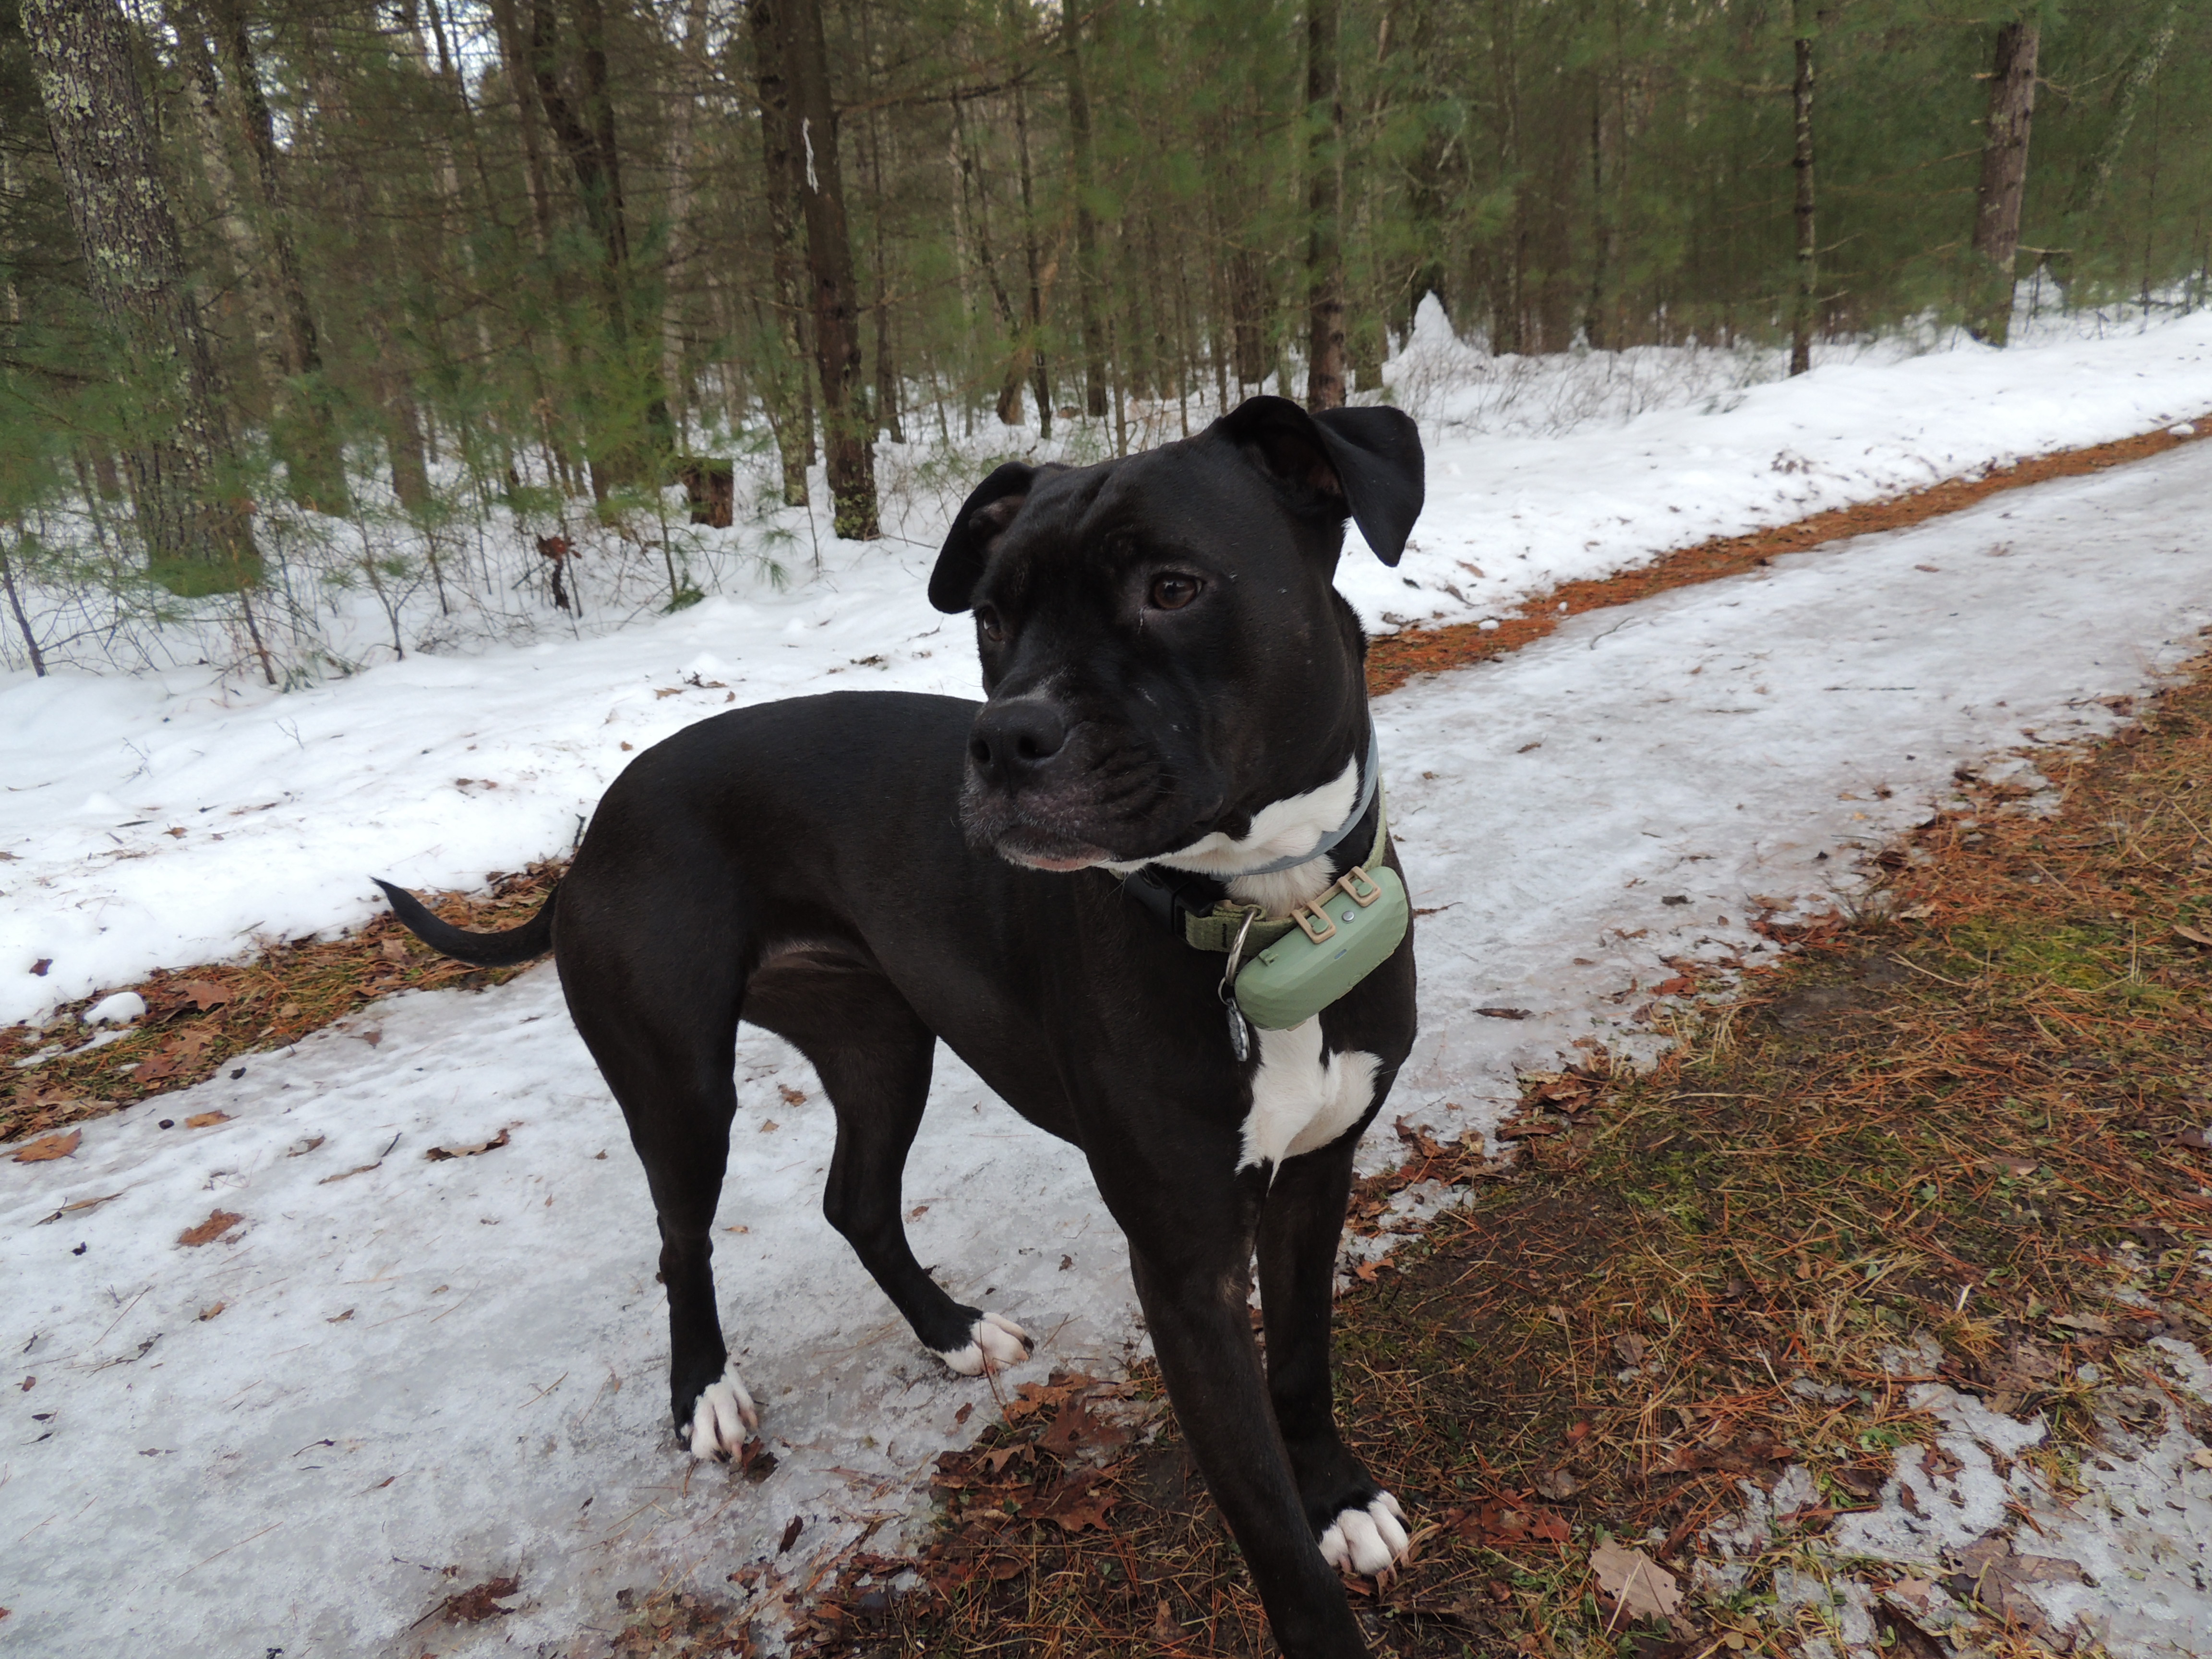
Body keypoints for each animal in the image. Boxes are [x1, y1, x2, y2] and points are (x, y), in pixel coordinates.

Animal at [376, 394, 1424, 1658]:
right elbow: (1258, 1512)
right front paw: (1312, 1565)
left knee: (856, 1200)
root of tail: (600, 820)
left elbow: (1305, 1364)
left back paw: (951, 1328)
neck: (1263, 916)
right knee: (683, 1238)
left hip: (881, 1043)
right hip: (681, 1081)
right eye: (991, 616)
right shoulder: (1184, 1262)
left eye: (1172, 587)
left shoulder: (1319, 1169)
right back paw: (706, 1396)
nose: (1004, 738)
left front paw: (1339, 1497)